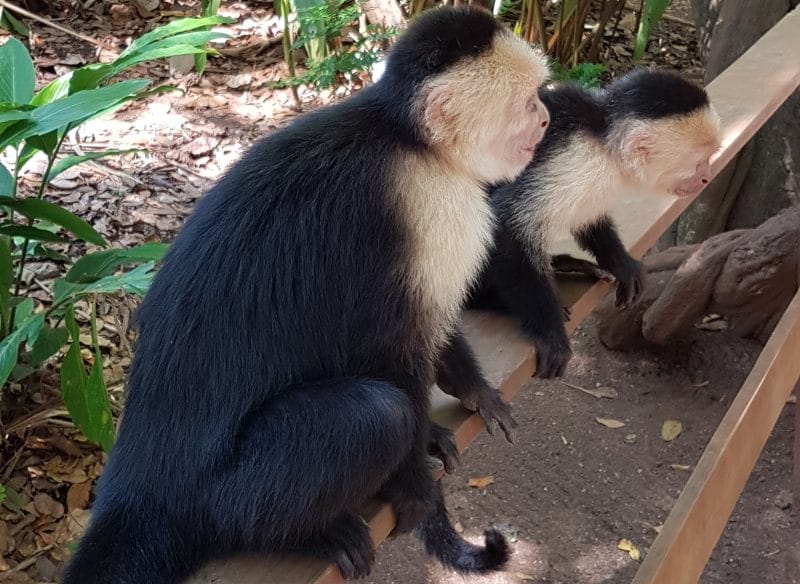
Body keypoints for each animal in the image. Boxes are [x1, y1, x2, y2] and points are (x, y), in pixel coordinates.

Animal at [62, 5, 552, 584]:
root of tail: (143, 483)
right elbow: (390, 349)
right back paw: (308, 535)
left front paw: (471, 392)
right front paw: (419, 495)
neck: (411, 141)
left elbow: (430, 322)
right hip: (223, 499)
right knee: (375, 414)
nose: (546, 120)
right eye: (528, 103)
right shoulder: (426, 204)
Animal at [446, 69, 720, 384]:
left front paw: (622, 264)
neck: (600, 138)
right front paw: (549, 333)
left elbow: (589, 216)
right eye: (698, 162)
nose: (706, 177)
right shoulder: (573, 161)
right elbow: (507, 224)